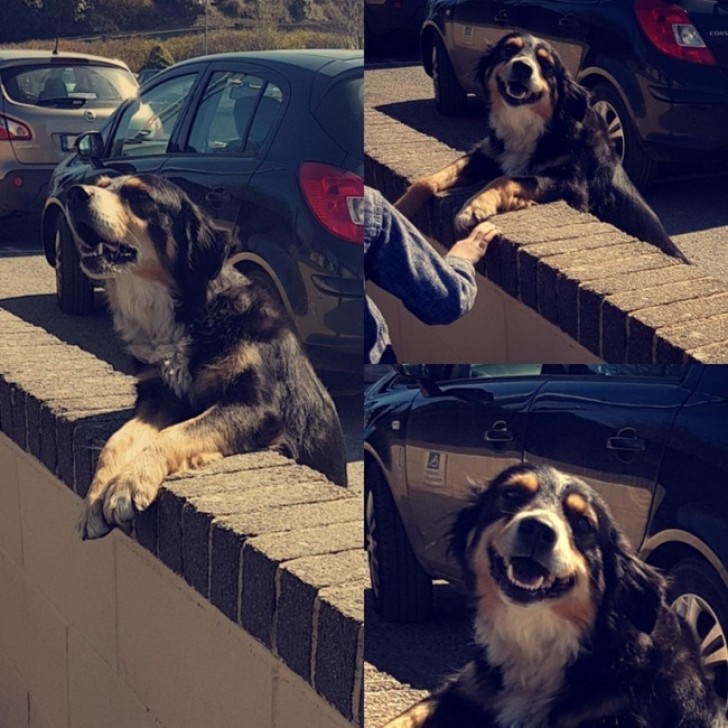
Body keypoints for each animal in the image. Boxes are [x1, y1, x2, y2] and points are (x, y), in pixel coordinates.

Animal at [65, 173, 346, 540]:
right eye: (100, 183)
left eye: (139, 197)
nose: (73, 193)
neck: (191, 314)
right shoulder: (159, 396)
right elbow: (116, 441)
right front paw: (94, 499)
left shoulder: (255, 404)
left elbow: (176, 433)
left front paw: (129, 484)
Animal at [396, 32, 692, 264]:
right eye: (509, 50)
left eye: (545, 63)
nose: (522, 67)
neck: (530, 126)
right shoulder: (486, 155)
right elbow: (428, 180)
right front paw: (400, 207)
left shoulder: (572, 186)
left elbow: (508, 179)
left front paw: (473, 207)